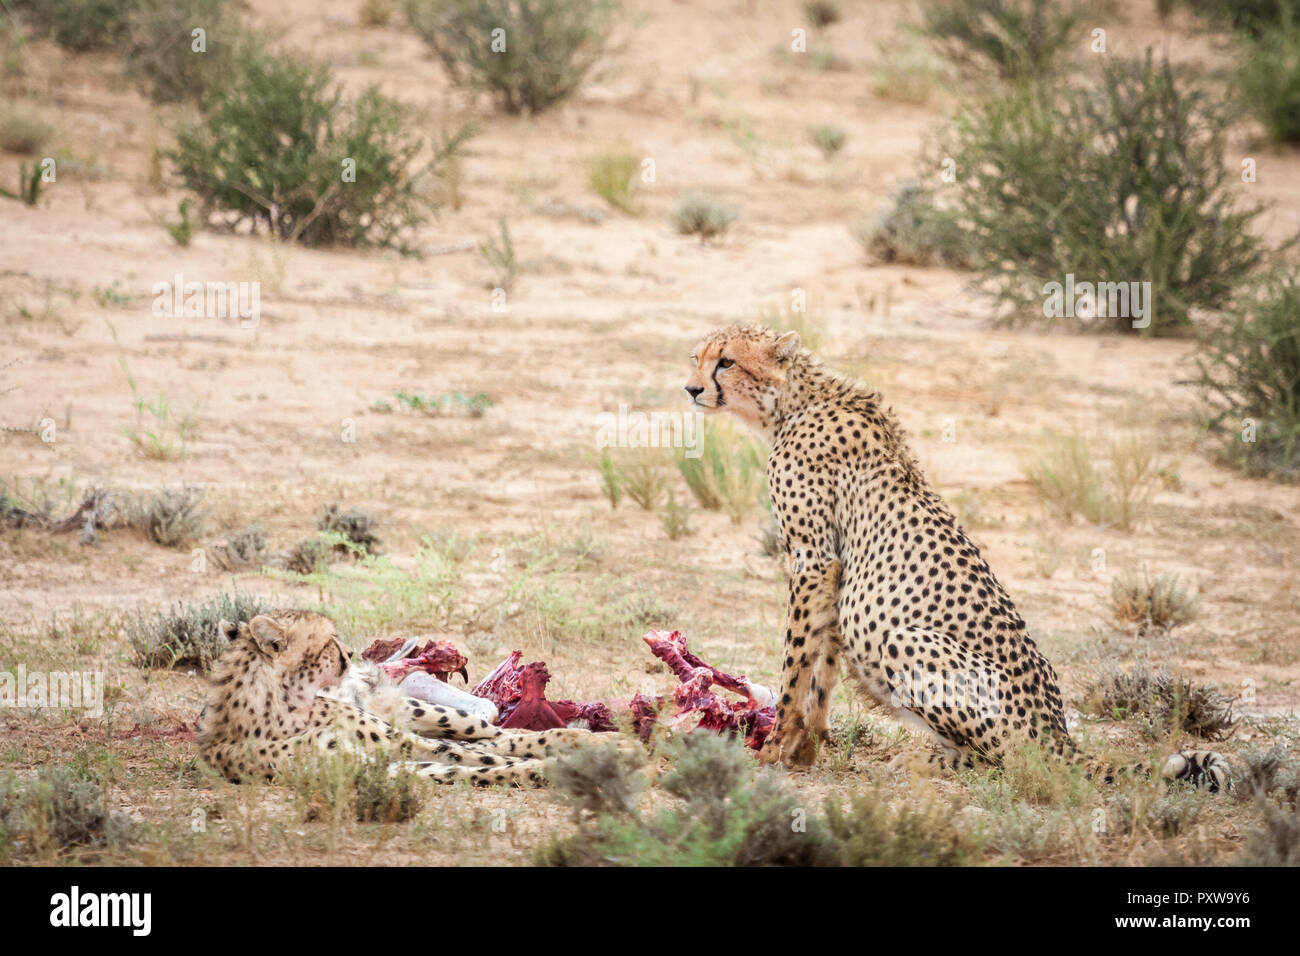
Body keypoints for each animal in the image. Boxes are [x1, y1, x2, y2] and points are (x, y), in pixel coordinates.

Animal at [196, 613, 598, 785]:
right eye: (328, 639)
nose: (350, 653)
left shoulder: (393, 739)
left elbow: (484, 754)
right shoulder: (376, 761)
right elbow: (475, 765)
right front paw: (550, 769)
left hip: (417, 710)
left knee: (494, 730)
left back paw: (588, 738)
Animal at [686, 325, 1232, 790]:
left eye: (727, 361)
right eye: (698, 358)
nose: (690, 389)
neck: (794, 402)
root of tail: (1058, 731)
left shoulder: (814, 559)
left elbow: (797, 663)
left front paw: (774, 746)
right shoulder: (833, 573)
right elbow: (821, 669)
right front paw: (803, 751)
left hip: (904, 640)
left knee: (1008, 761)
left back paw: (927, 762)